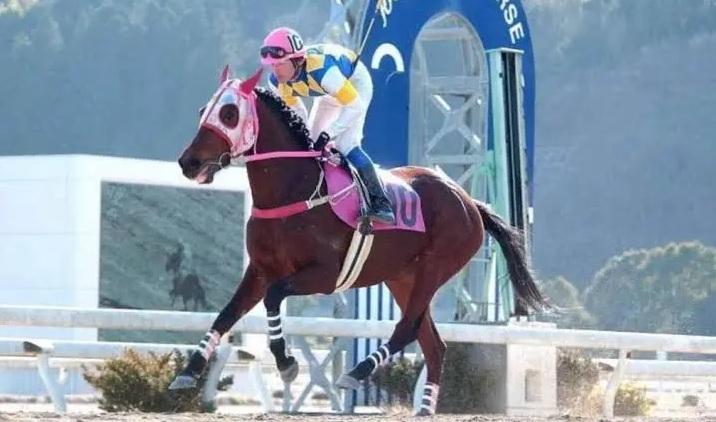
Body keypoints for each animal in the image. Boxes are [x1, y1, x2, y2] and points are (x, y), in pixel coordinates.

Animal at [169, 67, 548, 415]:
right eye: (203, 110)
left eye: (229, 114)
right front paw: (188, 371)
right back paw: (424, 409)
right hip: (402, 278)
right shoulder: (260, 270)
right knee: (433, 344)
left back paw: (356, 372)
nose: (189, 163)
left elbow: (274, 297)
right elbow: (226, 314)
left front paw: (286, 362)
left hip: (435, 268)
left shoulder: (325, 275)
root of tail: (470, 202)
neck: (294, 189)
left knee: (407, 329)